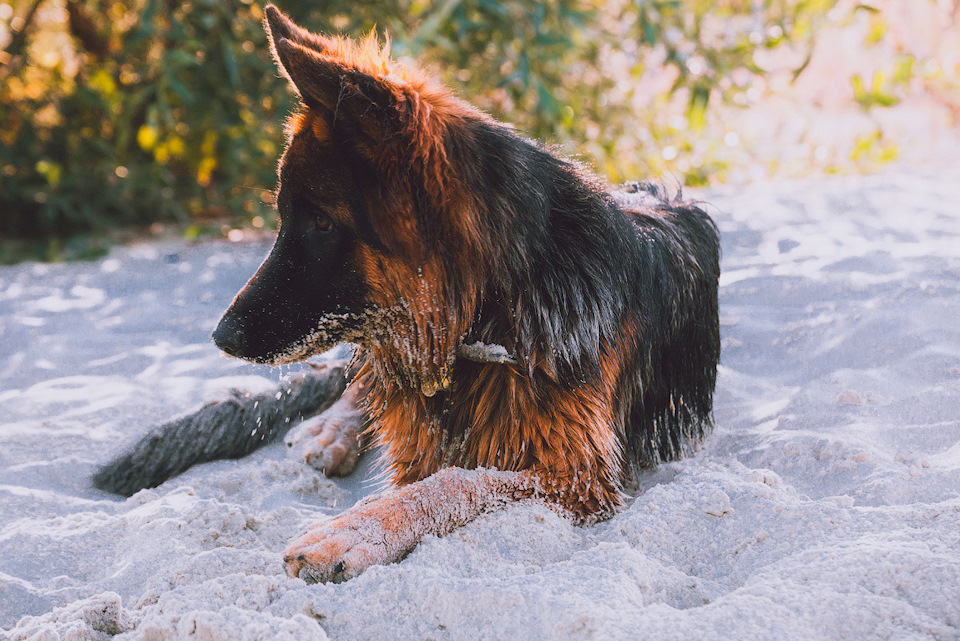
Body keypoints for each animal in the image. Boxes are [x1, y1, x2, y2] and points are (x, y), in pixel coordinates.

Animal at [208, 6, 720, 584]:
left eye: (320, 222)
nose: (221, 337)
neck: (485, 316)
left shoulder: (576, 475)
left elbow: (456, 480)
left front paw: (354, 529)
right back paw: (328, 429)